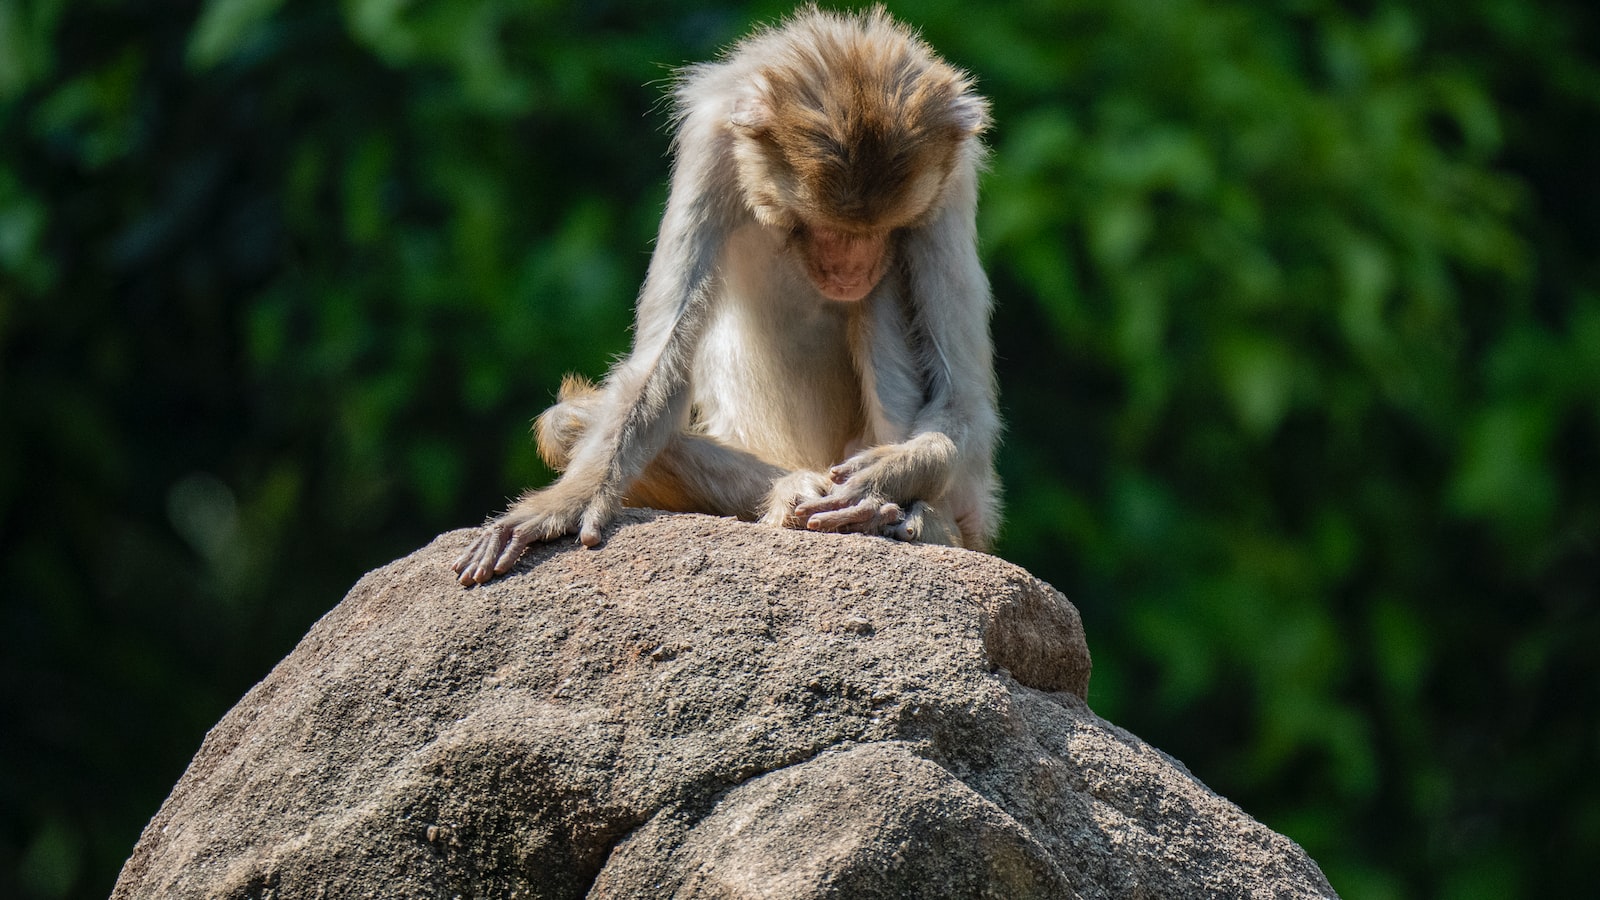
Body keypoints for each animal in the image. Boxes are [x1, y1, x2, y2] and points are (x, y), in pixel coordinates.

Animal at [454, 3, 998, 586]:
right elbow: (658, 360)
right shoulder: (711, 144)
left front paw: (890, 475)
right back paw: (794, 490)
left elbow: (963, 398)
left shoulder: (952, 183)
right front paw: (567, 501)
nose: (852, 268)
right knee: (565, 424)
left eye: (882, 231)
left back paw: (906, 516)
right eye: (827, 230)